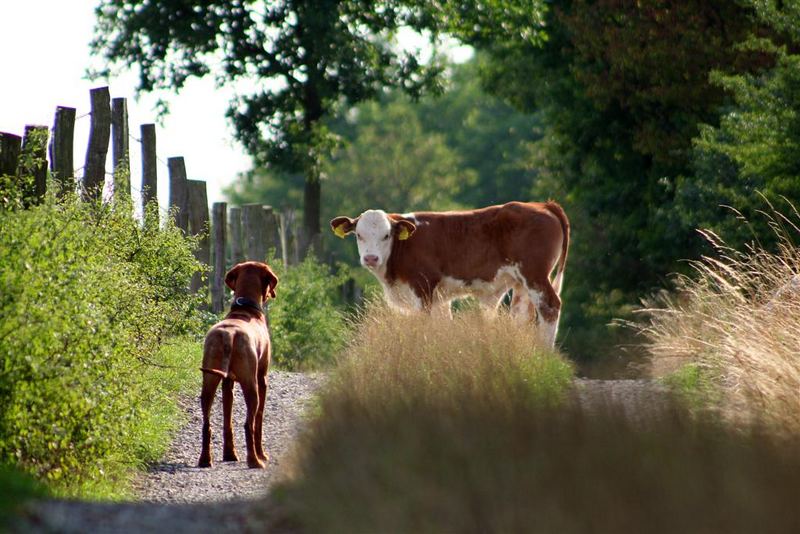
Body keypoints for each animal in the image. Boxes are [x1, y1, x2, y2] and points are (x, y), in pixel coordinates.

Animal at [197, 262, 278, 468]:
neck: (245, 309)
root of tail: (229, 334)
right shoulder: (262, 379)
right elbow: (259, 420)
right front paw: (263, 454)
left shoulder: (228, 383)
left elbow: (227, 419)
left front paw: (229, 454)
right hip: (251, 384)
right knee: (249, 423)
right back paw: (255, 460)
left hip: (209, 380)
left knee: (207, 423)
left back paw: (205, 459)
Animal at [332, 201, 568, 348]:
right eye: (359, 235)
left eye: (386, 235)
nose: (371, 258)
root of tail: (542, 205)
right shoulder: (439, 297)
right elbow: (443, 324)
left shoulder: (422, 288)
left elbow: (423, 325)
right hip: (521, 283)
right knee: (521, 315)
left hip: (535, 275)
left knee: (550, 307)